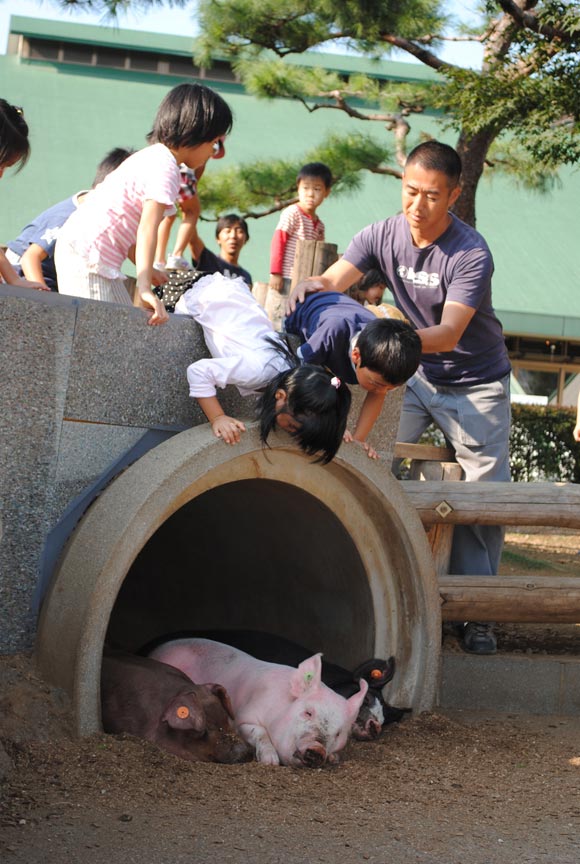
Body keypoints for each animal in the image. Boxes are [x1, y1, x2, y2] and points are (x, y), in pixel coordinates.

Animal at [147, 636, 370, 768]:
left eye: (339, 733)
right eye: (308, 712)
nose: (317, 749)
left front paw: (334, 758)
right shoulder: (243, 718)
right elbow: (260, 733)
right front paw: (270, 763)